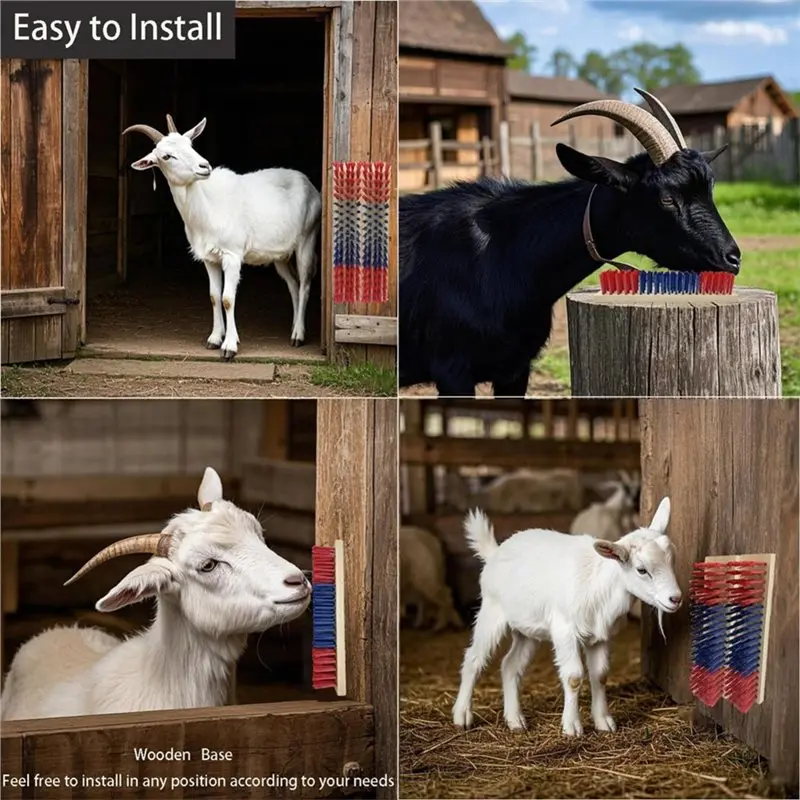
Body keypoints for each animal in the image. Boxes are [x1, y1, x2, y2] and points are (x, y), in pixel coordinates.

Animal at [123, 116, 321, 360]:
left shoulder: (232, 255)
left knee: (305, 283)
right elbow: (214, 296)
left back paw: (299, 335)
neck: (208, 206)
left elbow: (228, 298)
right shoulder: (209, 258)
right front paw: (215, 338)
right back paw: (293, 328)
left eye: (190, 144)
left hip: (307, 239)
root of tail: (309, 185)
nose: (204, 167)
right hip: (280, 256)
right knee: (293, 284)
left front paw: (229, 347)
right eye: (167, 156)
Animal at [399, 89, 741, 396]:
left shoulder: (516, 369)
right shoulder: (452, 369)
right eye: (667, 198)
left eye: (709, 191)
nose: (732, 258)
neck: (505, 253)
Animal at [452, 497, 680, 736]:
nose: (675, 598)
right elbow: (573, 677)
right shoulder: (565, 630)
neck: (601, 583)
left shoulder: (601, 637)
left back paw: (515, 720)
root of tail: (494, 552)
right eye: (641, 570)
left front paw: (603, 721)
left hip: (528, 630)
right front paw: (572, 727)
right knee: (474, 659)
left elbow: (600, 675)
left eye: (672, 561)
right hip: (492, 609)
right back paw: (462, 715)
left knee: (510, 666)